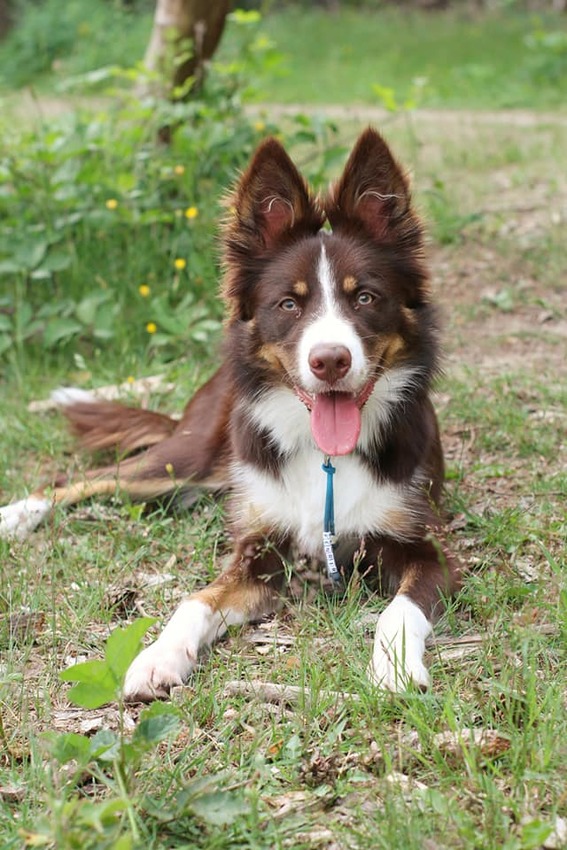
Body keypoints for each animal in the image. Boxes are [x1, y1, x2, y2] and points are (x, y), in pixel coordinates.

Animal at [0, 128, 461, 701]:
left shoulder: (431, 551)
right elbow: (195, 600)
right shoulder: (256, 554)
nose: (330, 360)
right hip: (186, 458)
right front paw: (158, 656)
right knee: (83, 478)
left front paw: (394, 668)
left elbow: (397, 611)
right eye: (289, 304)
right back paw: (15, 515)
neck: (326, 459)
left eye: (365, 298)